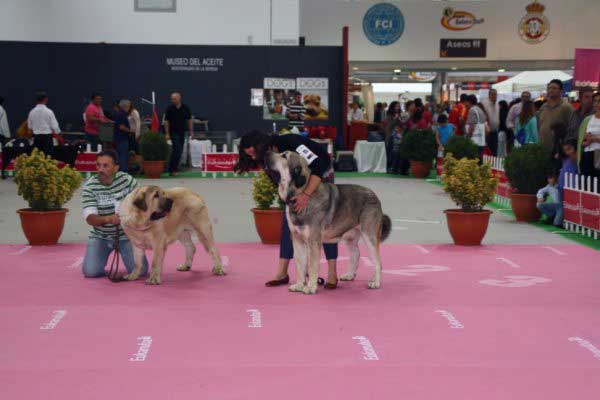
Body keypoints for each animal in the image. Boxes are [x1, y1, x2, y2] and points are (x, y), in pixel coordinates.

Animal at [266, 150, 390, 294]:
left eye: (284, 156)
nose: (267, 152)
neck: (301, 194)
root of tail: (375, 196)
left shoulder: (313, 241)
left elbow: (312, 266)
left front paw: (310, 287)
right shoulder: (297, 240)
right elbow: (300, 265)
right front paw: (299, 285)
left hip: (369, 234)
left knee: (377, 261)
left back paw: (375, 282)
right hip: (350, 235)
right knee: (356, 254)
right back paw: (350, 275)